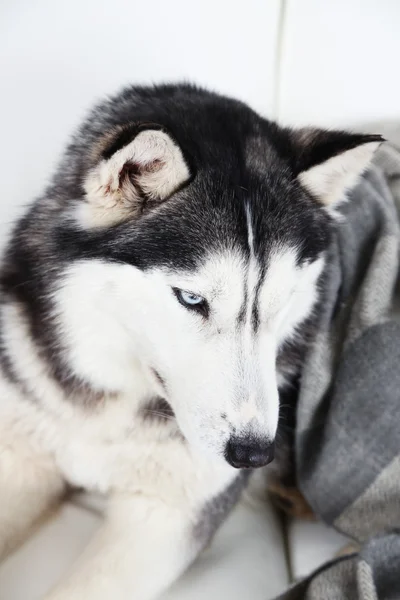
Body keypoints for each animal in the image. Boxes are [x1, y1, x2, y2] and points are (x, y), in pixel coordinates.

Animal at [0, 84, 382, 600]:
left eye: (281, 302)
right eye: (191, 298)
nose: (253, 454)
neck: (114, 411)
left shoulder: (168, 516)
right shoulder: (22, 452)